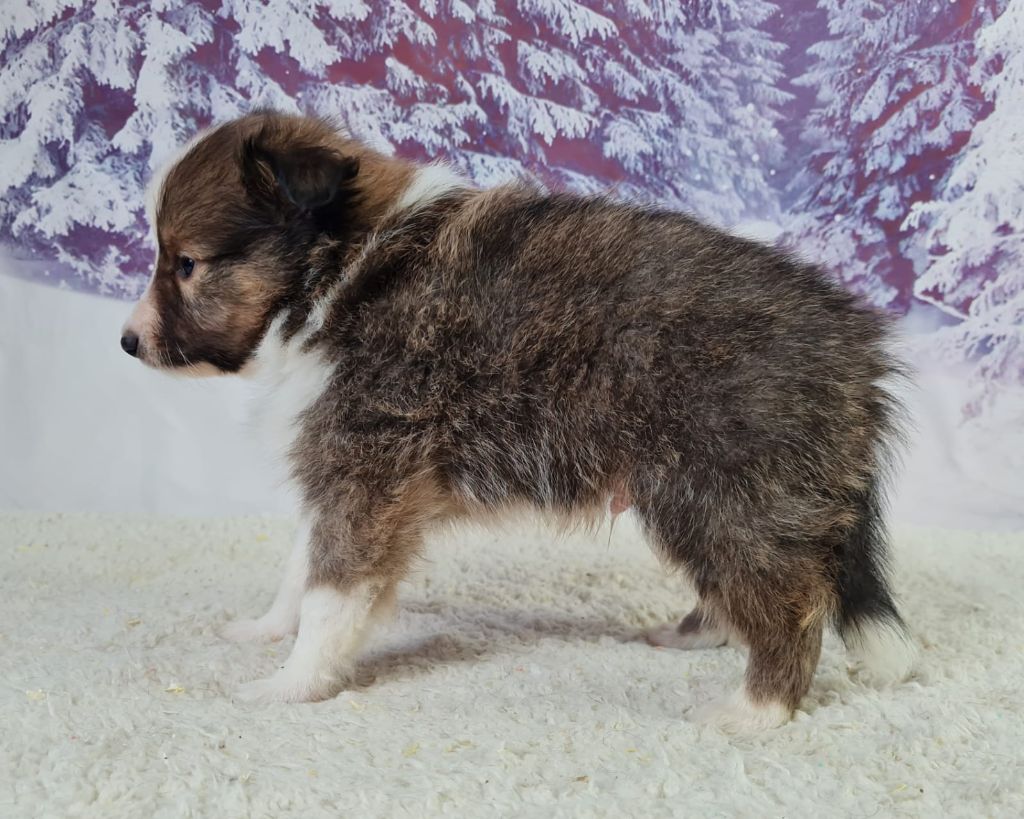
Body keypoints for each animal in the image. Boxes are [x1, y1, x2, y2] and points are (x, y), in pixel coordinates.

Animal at [121, 111, 916, 732]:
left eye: (186, 263)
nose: (127, 342)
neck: (337, 273)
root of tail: (859, 349)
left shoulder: (366, 466)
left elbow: (331, 593)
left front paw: (292, 684)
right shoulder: (341, 467)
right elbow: (299, 571)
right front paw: (265, 631)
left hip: (722, 487)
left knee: (786, 603)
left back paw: (754, 710)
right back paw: (695, 639)